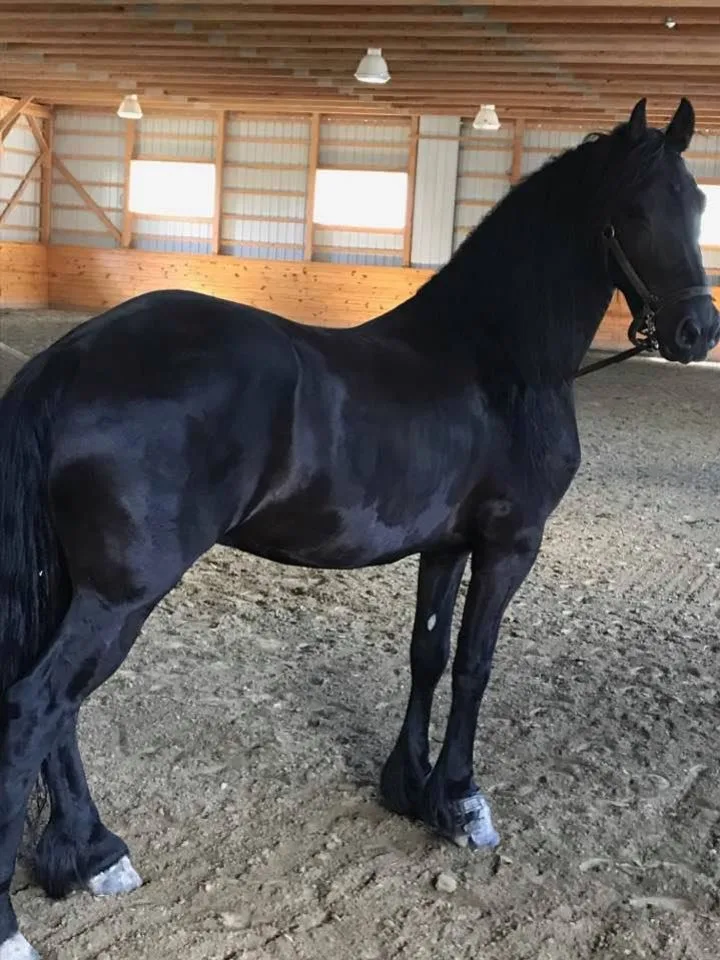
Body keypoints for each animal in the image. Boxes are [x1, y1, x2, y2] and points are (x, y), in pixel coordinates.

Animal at [0, 97, 717, 959]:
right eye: (635, 211)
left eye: (698, 203)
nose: (697, 332)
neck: (497, 361)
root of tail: (68, 360)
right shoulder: (509, 547)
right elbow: (475, 665)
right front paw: (462, 802)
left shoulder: (446, 547)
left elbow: (428, 657)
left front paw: (408, 787)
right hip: (121, 595)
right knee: (36, 710)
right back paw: (18, 919)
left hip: (82, 588)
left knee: (59, 715)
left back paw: (93, 853)